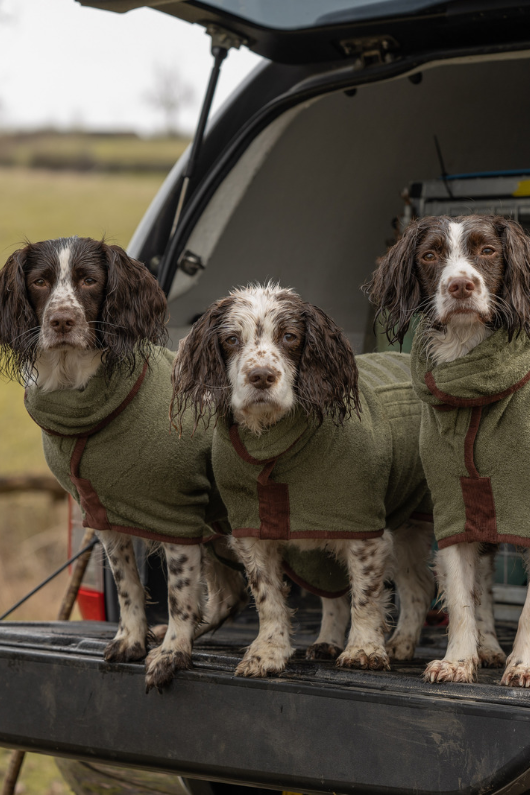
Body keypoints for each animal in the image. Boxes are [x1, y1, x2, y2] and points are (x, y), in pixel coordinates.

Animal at [170, 284, 434, 676]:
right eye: (231, 339)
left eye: (290, 337)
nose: (261, 376)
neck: (274, 446)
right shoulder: (253, 532)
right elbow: (268, 596)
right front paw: (268, 652)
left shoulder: (361, 528)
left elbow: (366, 594)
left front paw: (364, 649)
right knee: (411, 587)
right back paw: (361, 643)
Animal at [368, 215, 530, 688]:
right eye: (430, 255)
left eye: (488, 250)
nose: (460, 286)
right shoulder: (456, 504)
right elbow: (460, 595)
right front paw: (459, 660)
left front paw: (523, 664)